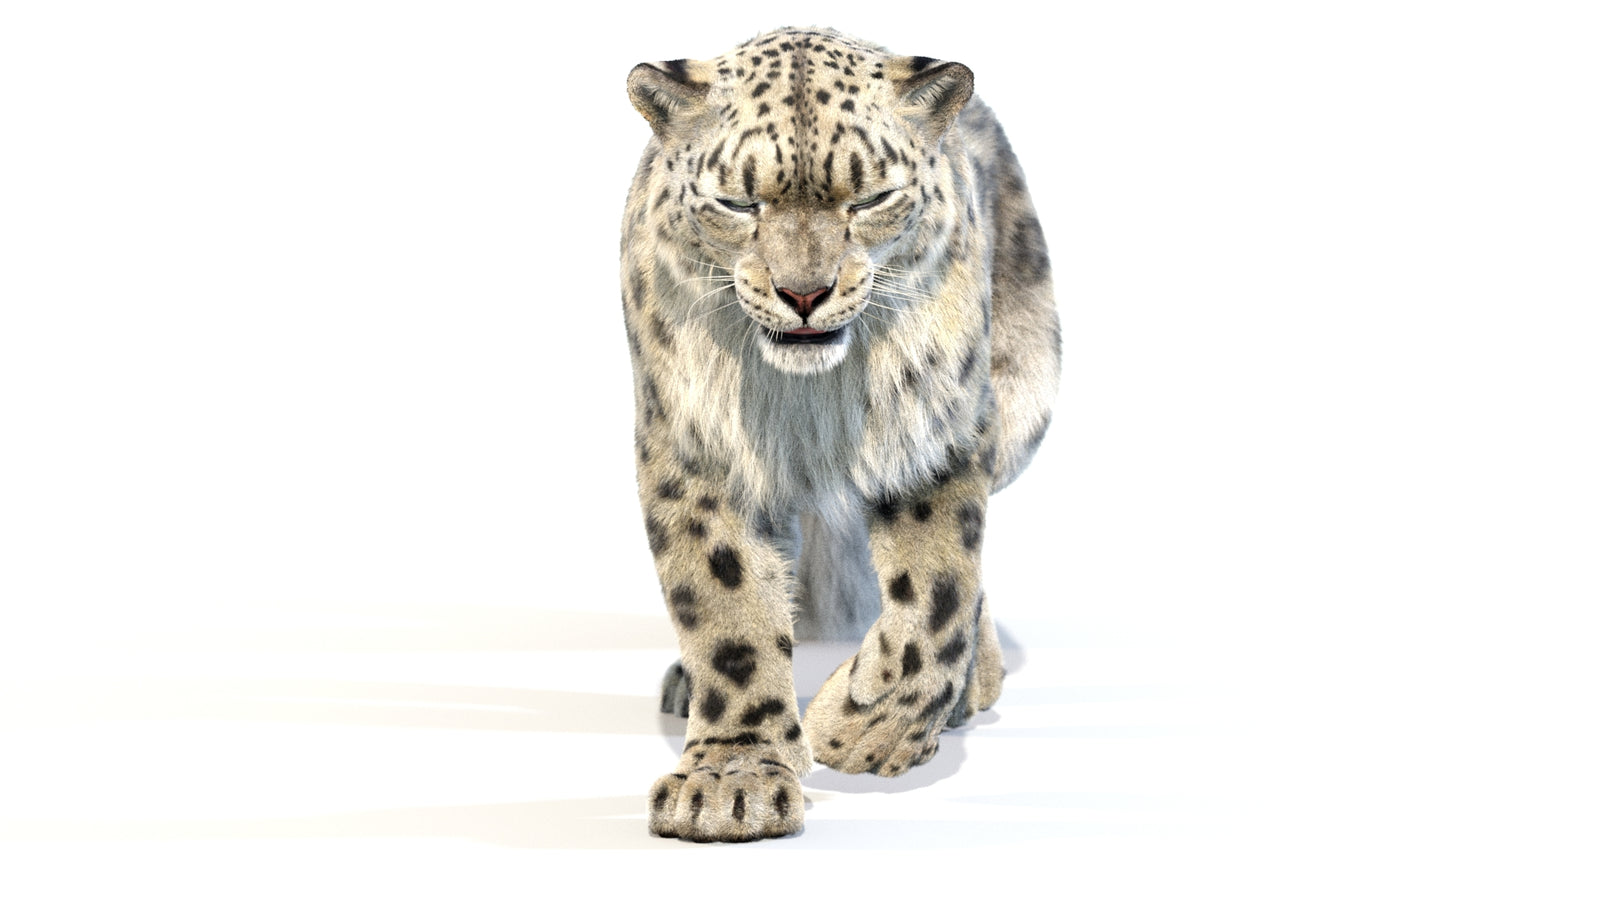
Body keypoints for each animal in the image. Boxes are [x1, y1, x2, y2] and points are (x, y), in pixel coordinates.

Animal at [620, 26, 1059, 842]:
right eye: (736, 201)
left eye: (872, 197)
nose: (804, 293)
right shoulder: (695, 446)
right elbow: (726, 604)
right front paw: (731, 781)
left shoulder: (934, 429)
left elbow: (937, 595)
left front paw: (862, 731)